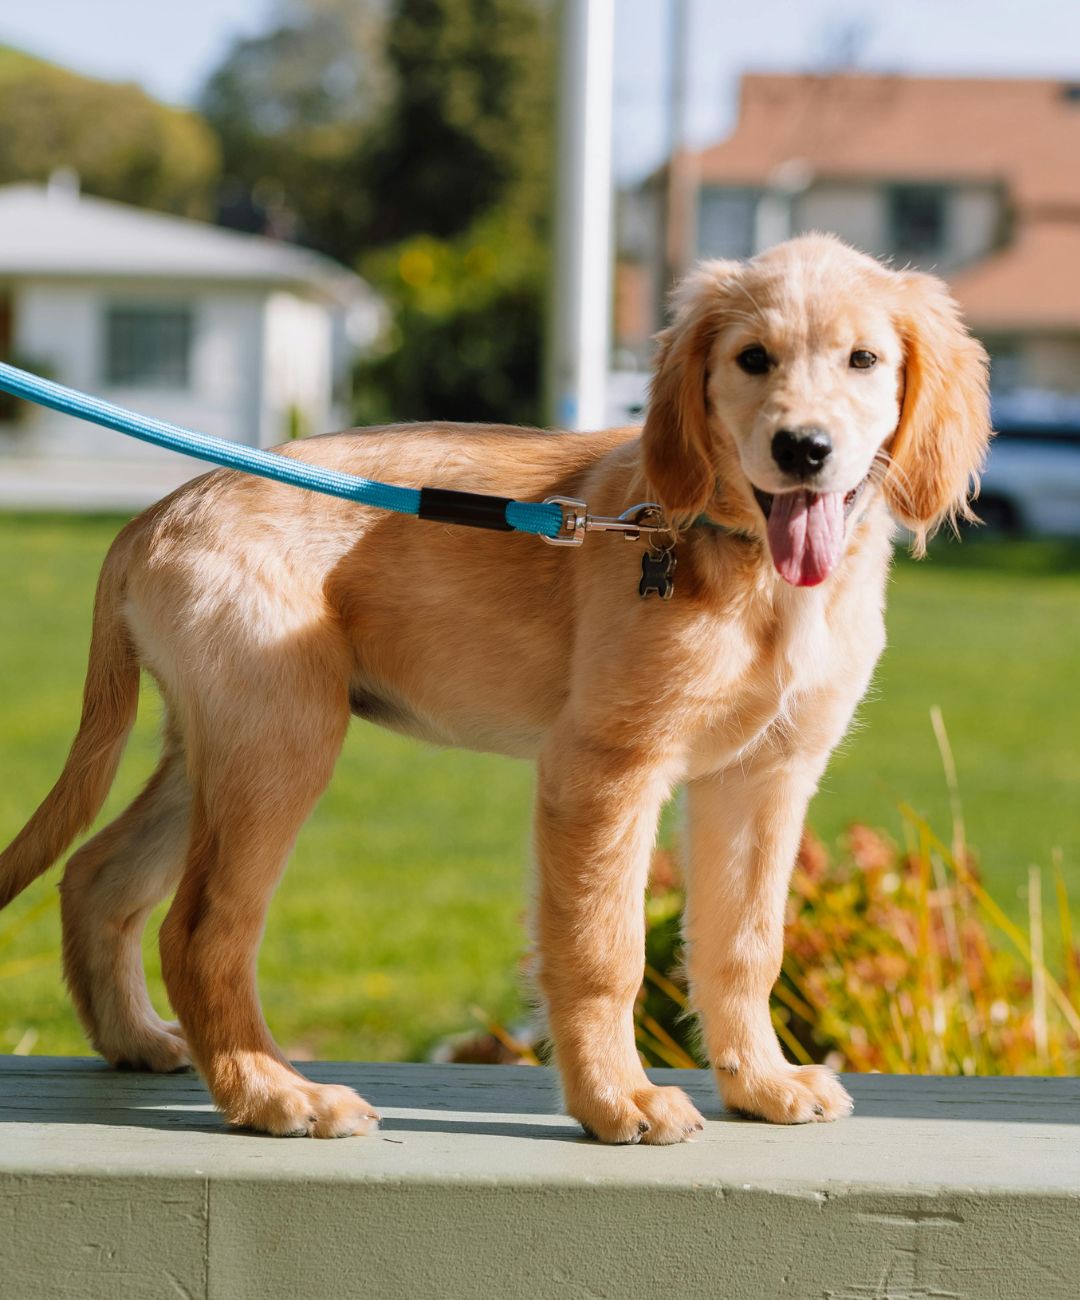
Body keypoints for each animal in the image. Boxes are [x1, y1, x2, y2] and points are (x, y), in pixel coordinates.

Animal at [0, 233, 987, 1138]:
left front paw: (761, 1084)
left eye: (864, 360)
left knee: (98, 874)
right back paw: (276, 1095)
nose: (804, 449)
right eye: (753, 359)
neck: (742, 563)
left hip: (224, 742)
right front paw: (616, 1101)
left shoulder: (766, 774)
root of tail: (157, 512)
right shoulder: (604, 767)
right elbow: (604, 951)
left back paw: (136, 1040)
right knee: (201, 930)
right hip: (283, 738)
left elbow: (744, 944)